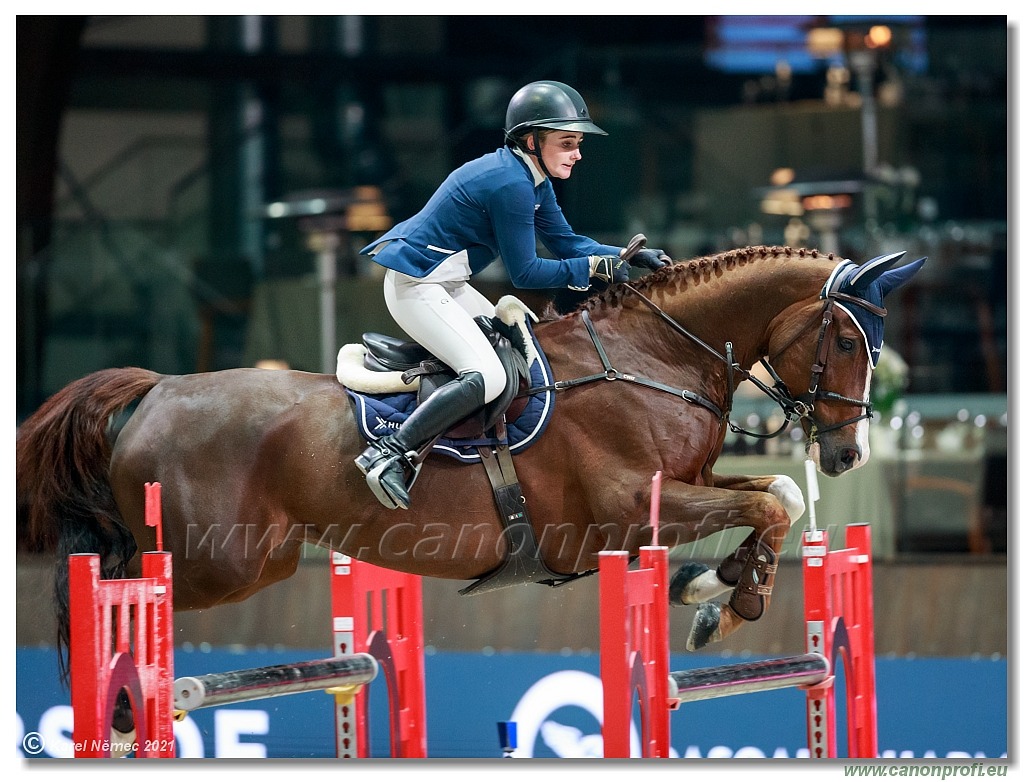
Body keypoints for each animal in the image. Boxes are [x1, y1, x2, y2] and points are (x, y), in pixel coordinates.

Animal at [19, 245, 925, 683]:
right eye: (850, 342)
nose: (847, 452)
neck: (655, 356)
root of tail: (159, 387)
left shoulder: (688, 489)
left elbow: (776, 495)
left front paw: (716, 593)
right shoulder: (630, 508)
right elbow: (769, 502)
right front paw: (726, 598)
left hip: (257, 559)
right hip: (221, 562)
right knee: (115, 583)